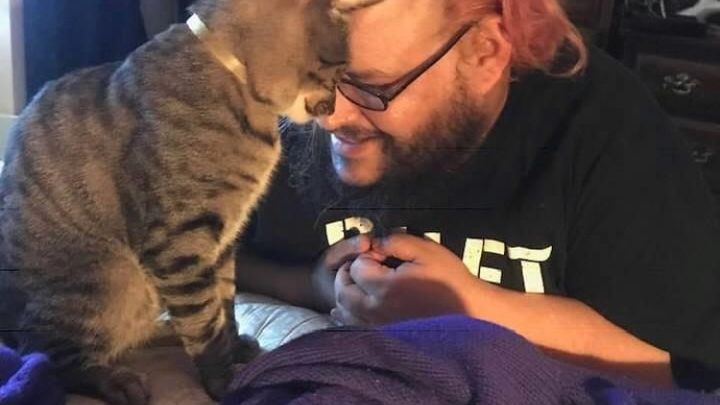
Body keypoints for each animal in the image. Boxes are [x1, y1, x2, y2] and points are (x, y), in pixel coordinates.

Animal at [0, 0, 380, 403]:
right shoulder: (178, 242)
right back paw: (115, 380)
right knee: (48, 356)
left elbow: (223, 305)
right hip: (105, 281)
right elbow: (204, 324)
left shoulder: (223, 242)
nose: (334, 109)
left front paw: (233, 346)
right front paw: (225, 381)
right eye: (339, 74)